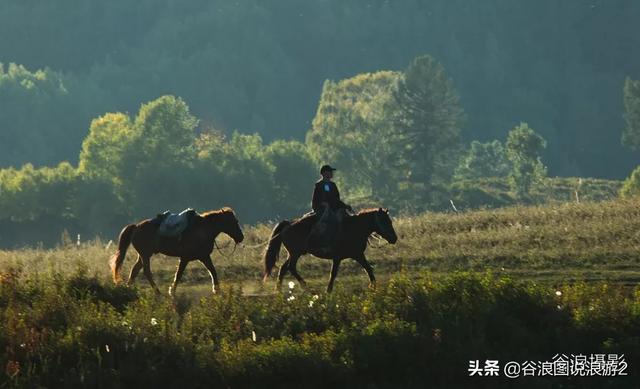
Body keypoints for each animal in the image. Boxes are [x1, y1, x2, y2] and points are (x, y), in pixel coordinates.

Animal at [110, 206, 242, 294]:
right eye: (234, 222)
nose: (241, 237)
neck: (202, 230)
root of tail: (136, 227)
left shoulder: (204, 256)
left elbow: (212, 270)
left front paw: (217, 289)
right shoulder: (186, 258)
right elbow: (179, 274)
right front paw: (172, 291)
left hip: (143, 255)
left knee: (134, 270)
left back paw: (128, 288)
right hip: (145, 255)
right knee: (146, 272)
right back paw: (157, 292)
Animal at [264, 208, 396, 292]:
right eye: (385, 221)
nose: (394, 238)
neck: (354, 228)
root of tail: (287, 225)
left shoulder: (358, 255)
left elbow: (368, 269)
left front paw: (373, 286)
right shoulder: (338, 257)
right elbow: (333, 273)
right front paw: (328, 290)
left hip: (293, 253)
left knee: (283, 268)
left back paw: (279, 290)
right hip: (295, 253)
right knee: (291, 267)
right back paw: (306, 286)